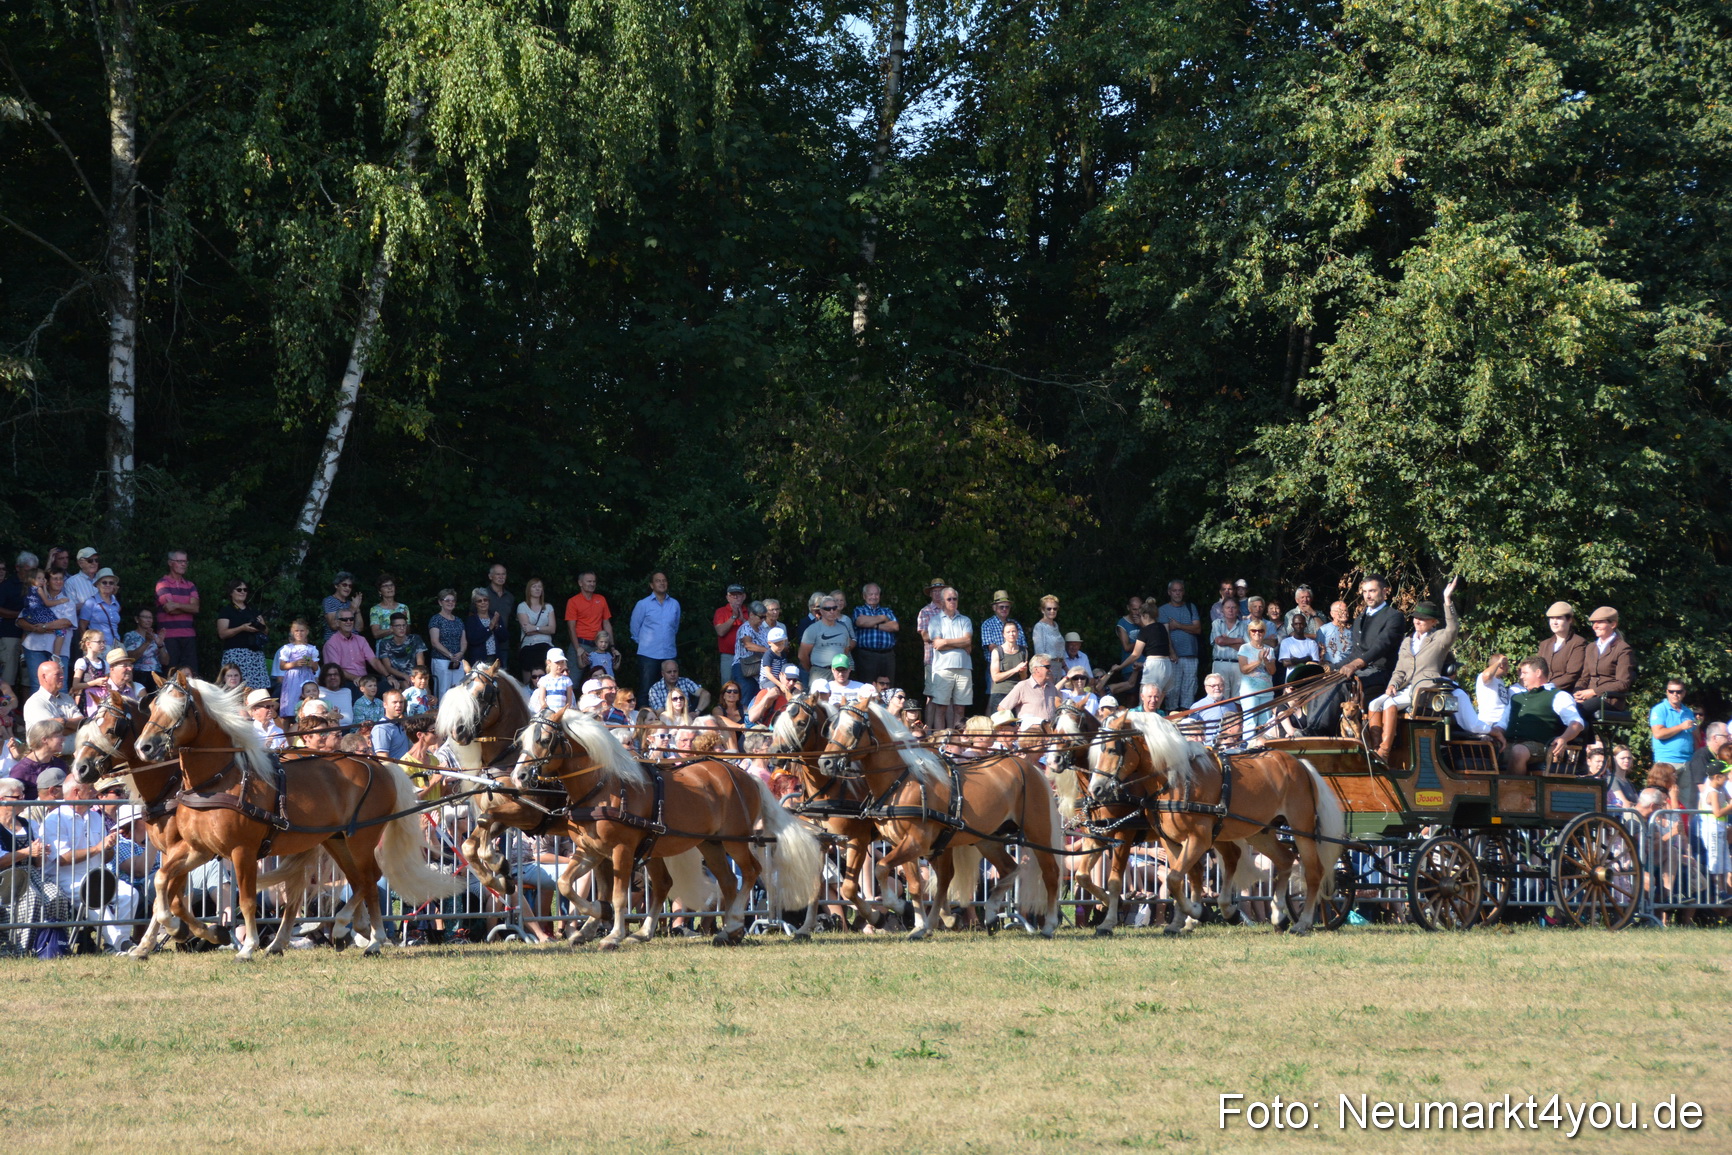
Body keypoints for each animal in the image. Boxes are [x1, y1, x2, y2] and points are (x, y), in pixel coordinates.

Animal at [134, 673, 460, 959]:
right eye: (151, 707)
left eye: (178, 709)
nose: (144, 746)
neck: (219, 780)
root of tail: (378, 765)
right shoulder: (198, 848)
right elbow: (162, 881)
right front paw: (179, 928)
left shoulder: (242, 850)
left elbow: (246, 900)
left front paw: (248, 947)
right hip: (337, 840)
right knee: (361, 881)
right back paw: (351, 931)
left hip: (362, 838)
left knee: (369, 879)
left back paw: (368, 937)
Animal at [512, 709, 821, 949]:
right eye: (522, 740)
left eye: (544, 739)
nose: (519, 776)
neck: (603, 787)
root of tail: (746, 776)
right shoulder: (591, 850)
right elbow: (568, 884)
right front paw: (593, 921)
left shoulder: (622, 850)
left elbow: (616, 895)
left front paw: (612, 934)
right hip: (708, 844)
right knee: (721, 881)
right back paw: (724, 931)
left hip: (733, 840)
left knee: (749, 872)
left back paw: (731, 924)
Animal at [819, 701, 1061, 940]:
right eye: (831, 727)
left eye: (853, 728)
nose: (825, 762)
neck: (903, 781)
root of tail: (1029, 768)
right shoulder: (903, 844)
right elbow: (914, 885)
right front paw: (918, 924)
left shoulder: (916, 841)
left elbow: (881, 868)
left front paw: (900, 907)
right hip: (987, 838)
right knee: (1008, 868)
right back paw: (990, 914)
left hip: (1037, 831)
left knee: (1050, 873)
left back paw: (1049, 925)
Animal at [1088, 710, 1345, 935]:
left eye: (1112, 749)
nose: (1095, 789)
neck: (1177, 781)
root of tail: (1301, 764)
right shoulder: (1170, 840)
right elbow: (1180, 879)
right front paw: (1188, 918)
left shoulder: (1199, 839)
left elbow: (1175, 879)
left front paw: (1197, 912)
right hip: (1260, 831)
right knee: (1284, 860)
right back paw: (1277, 915)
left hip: (1302, 830)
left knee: (1313, 872)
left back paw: (1302, 923)